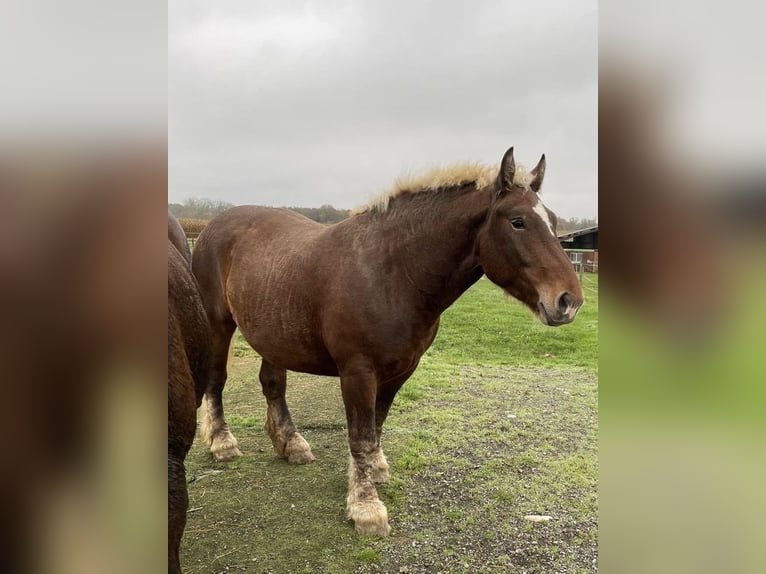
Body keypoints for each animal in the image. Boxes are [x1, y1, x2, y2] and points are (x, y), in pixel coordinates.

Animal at [192, 147, 584, 536]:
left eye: (552, 220)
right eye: (518, 221)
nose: (569, 301)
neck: (392, 273)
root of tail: (213, 226)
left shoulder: (400, 370)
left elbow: (376, 425)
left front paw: (374, 471)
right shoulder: (358, 372)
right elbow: (361, 434)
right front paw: (366, 508)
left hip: (273, 333)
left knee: (273, 384)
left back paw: (291, 444)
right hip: (218, 324)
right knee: (216, 380)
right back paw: (222, 442)